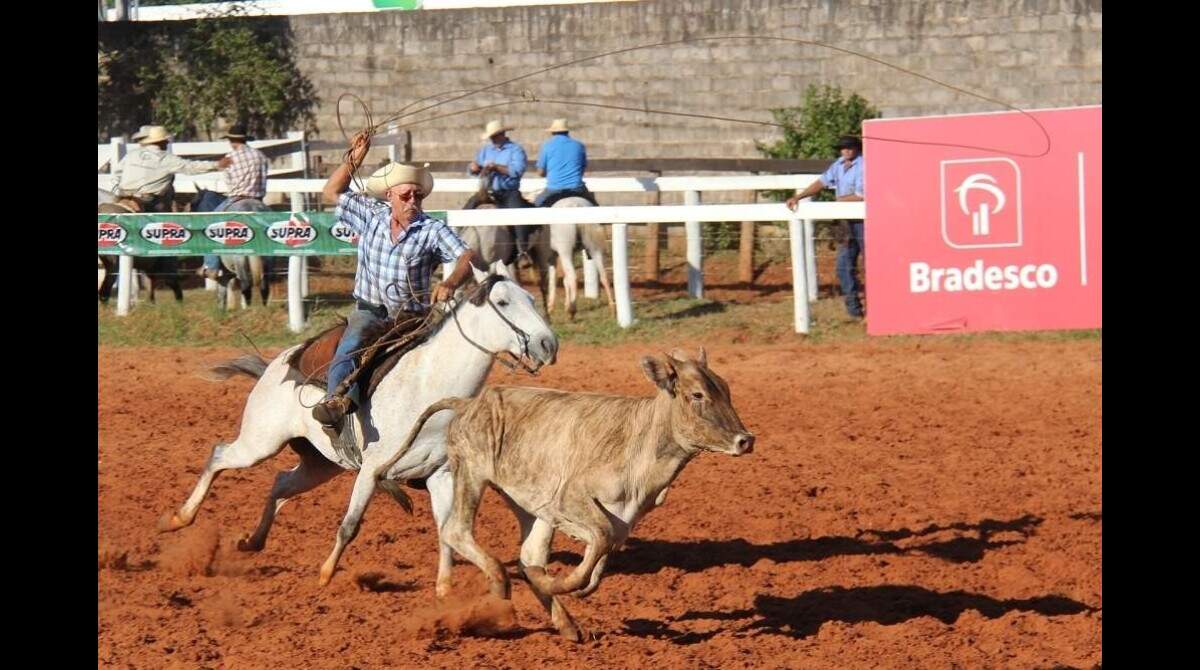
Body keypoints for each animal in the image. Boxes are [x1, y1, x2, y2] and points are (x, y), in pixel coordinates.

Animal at [156, 267, 561, 588]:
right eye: (504, 303)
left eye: (531, 298)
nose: (548, 344)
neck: (427, 387)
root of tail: (279, 363)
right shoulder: (371, 470)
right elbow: (350, 525)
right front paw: (325, 575)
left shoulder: (440, 474)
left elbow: (447, 531)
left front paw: (445, 590)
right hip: (260, 442)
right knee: (219, 455)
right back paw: (178, 519)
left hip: (320, 465)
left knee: (281, 484)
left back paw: (252, 542)